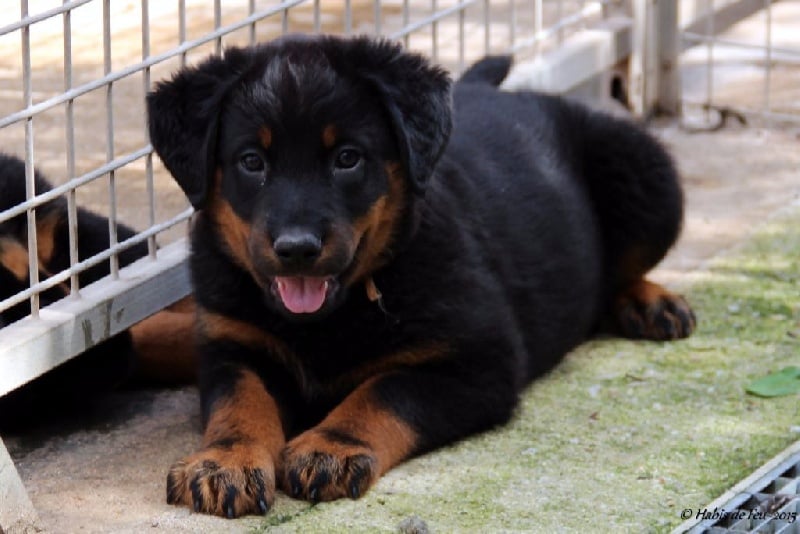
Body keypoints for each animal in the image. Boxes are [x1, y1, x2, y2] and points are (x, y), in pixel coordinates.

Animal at [146, 35, 695, 518]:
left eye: (347, 158)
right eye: (251, 161)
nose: (297, 248)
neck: (329, 317)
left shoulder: (480, 364)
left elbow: (384, 391)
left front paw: (331, 447)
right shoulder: (232, 346)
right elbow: (240, 404)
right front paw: (225, 463)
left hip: (644, 170)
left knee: (624, 267)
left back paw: (649, 303)